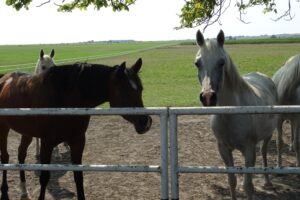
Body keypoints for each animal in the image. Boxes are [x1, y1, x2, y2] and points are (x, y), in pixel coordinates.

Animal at [0, 58, 151, 200]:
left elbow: (78, 177)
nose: (146, 122)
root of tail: (4, 78)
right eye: (125, 90)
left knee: (21, 154)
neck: (63, 98)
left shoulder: (78, 141)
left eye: (141, 89)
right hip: (4, 128)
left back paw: (24, 191)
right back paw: (5, 192)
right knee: (5, 157)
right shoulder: (47, 143)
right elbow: (44, 178)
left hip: (27, 132)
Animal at [196, 29, 278, 200]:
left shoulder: (249, 149)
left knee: (264, 153)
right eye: (197, 63)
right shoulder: (223, 149)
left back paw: (267, 182)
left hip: (267, 136)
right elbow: (232, 181)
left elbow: (248, 186)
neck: (230, 114)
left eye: (221, 62)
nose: (208, 97)